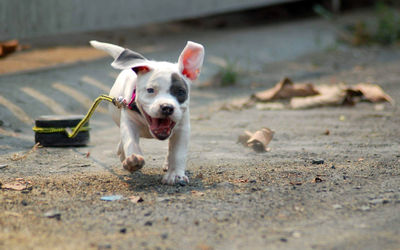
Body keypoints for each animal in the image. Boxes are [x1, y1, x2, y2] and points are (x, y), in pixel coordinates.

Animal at [90, 40, 203, 185]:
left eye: (181, 92)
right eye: (150, 90)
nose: (167, 107)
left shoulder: (182, 128)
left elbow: (178, 153)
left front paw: (175, 174)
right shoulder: (129, 123)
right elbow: (130, 141)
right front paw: (133, 160)